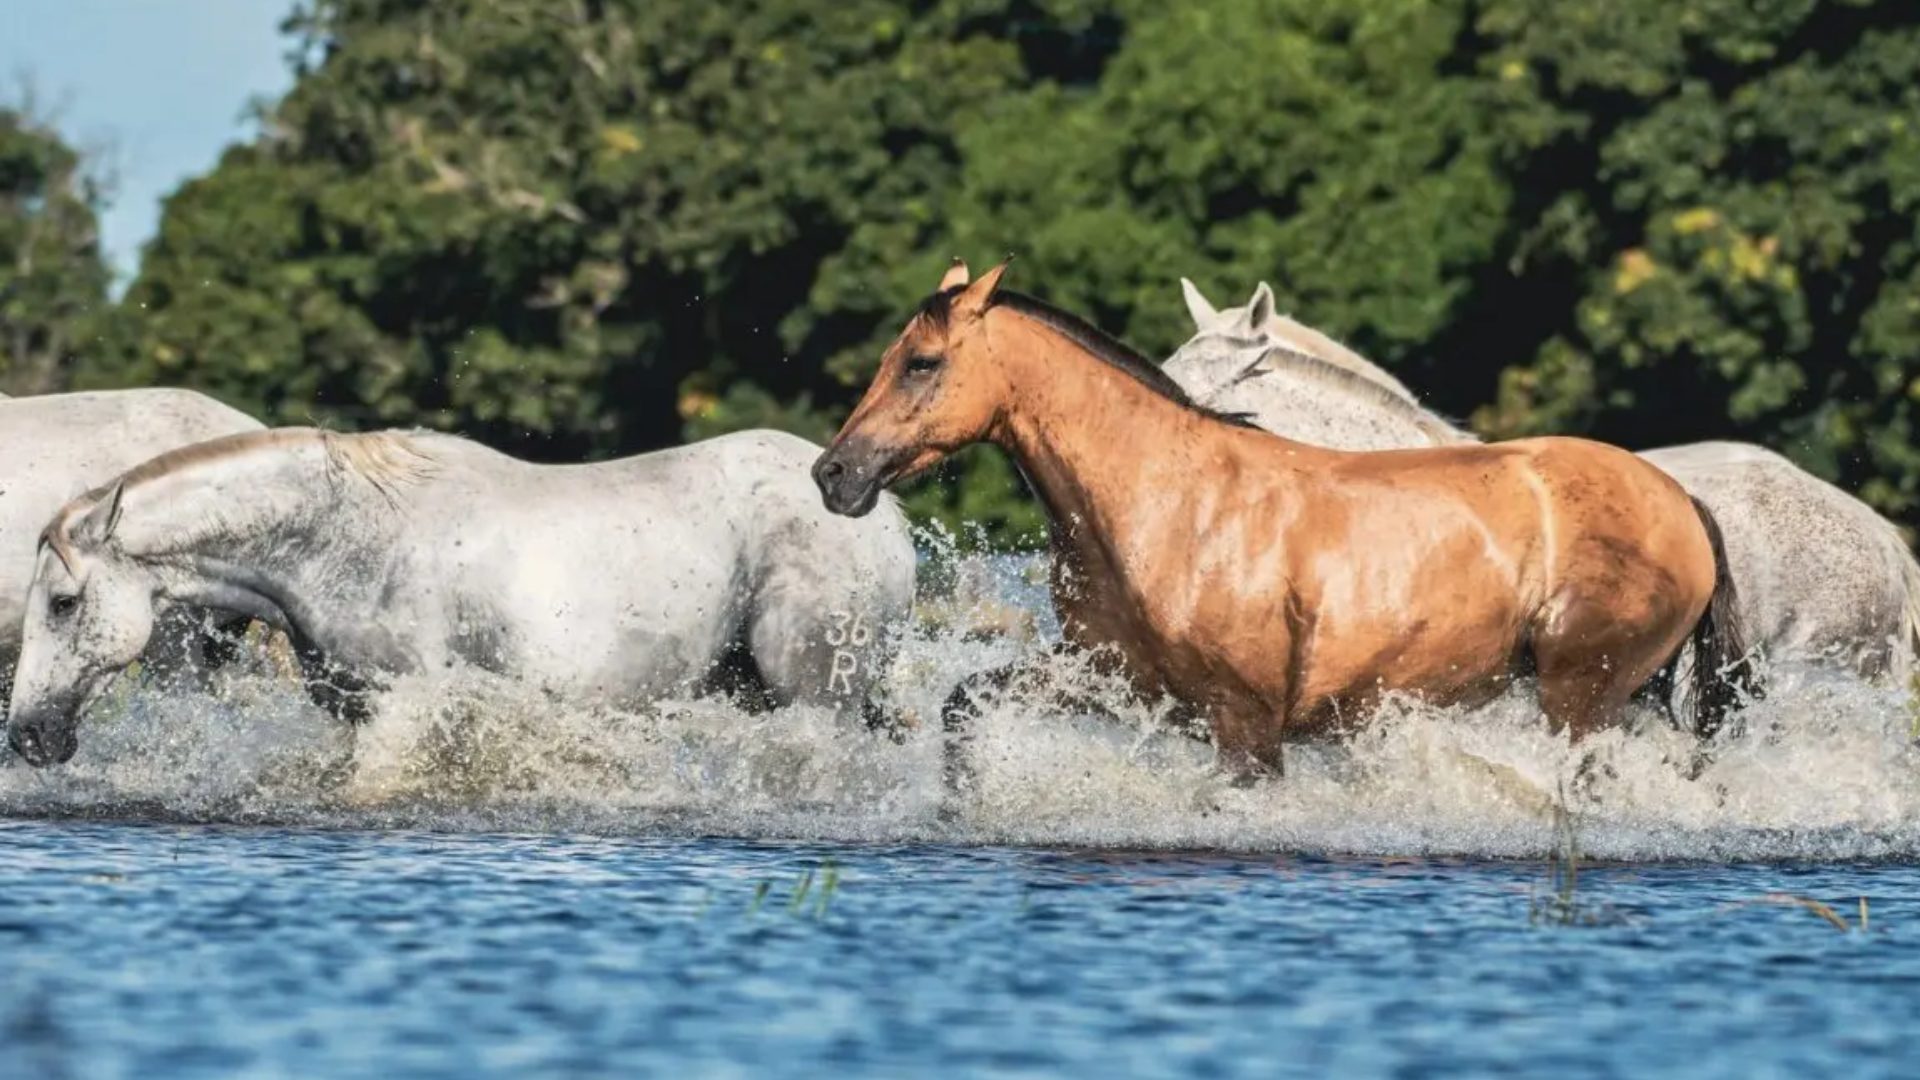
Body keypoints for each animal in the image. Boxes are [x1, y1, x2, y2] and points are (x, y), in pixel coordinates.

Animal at [6, 427, 916, 766]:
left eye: (62, 604)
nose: (27, 738)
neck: (343, 538)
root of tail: (883, 514)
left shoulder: (413, 701)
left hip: (813, 695)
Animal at [812, 260, 1751, 793]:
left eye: (921, 363)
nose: (834, 475)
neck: (1166, 502)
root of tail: (1681, 501)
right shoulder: (1114, 679)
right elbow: (963, 706)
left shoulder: (1247, 726)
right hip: (1619, 700)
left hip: (1579, 696)